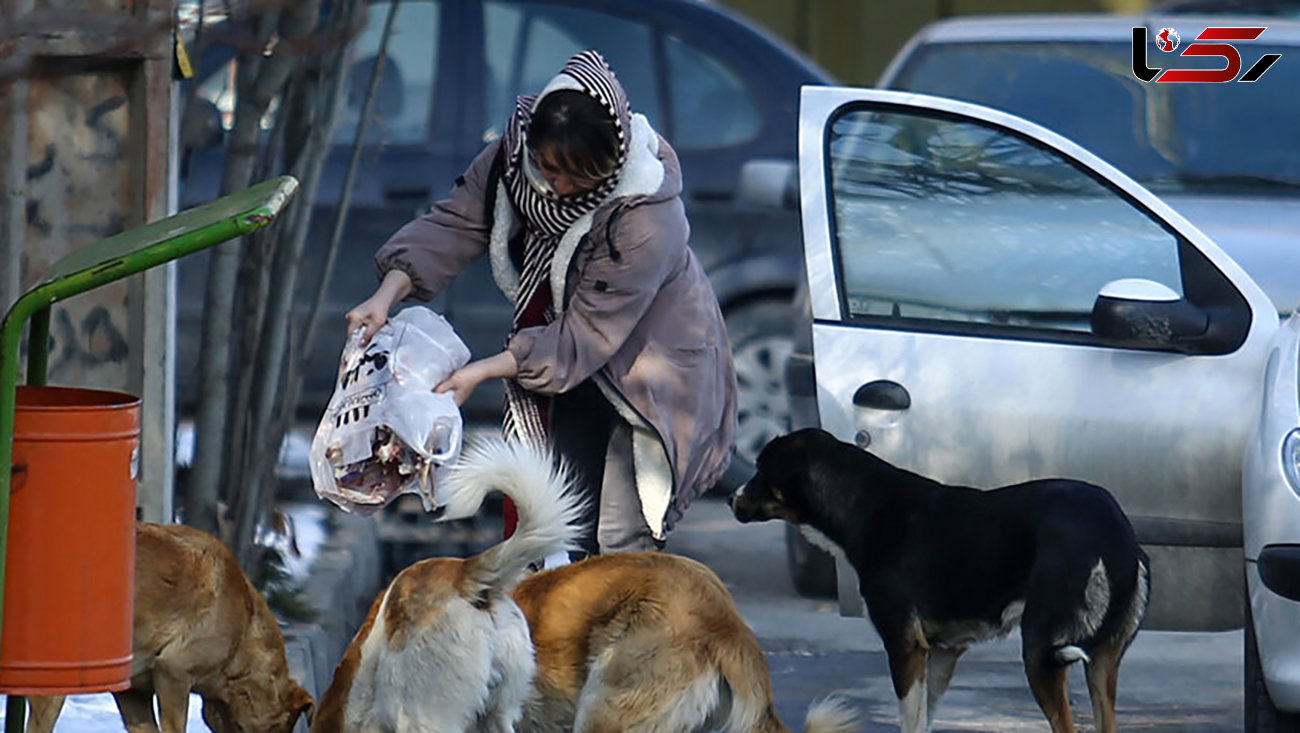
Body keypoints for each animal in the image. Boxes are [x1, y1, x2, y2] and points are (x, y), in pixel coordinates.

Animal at [733, 428, 1149, 733]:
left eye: (760, 469)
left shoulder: (905, 647)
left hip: (1040, 652)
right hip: (1103, 663)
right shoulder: (942, 654)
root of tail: (1114, 533)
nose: (730, 498)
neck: (863, 503)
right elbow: (923, 722)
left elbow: (909, 721)